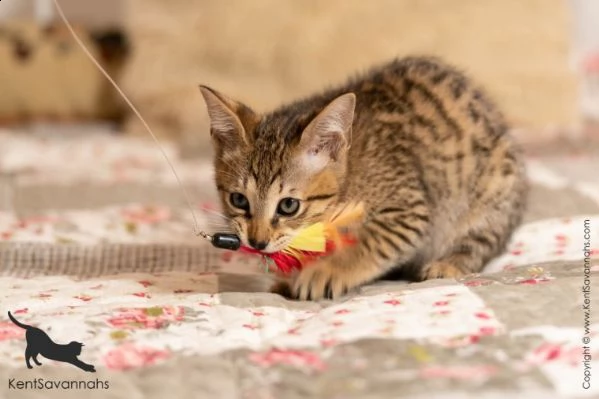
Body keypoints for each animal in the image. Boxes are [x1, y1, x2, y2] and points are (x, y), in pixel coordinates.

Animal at [199, 56, 528, 300]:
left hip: (493, 189)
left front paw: (326, 271)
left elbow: (369, 242)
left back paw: (448, 263)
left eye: (288, 206)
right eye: (238, 200)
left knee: (479, 242)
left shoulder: (408, 208)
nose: (257, 242)